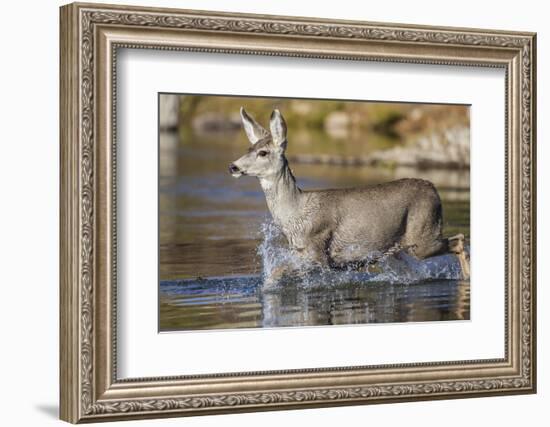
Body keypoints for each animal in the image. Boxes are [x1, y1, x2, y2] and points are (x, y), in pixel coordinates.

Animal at [231, 108, 472, 286]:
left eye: (263, 152)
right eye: (249, 148)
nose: (233, 166)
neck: (295, 213)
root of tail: (433, 189)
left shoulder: (317, 252)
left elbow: (277, 272)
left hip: (423, 235)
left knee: (459, 240)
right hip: (394, 250)